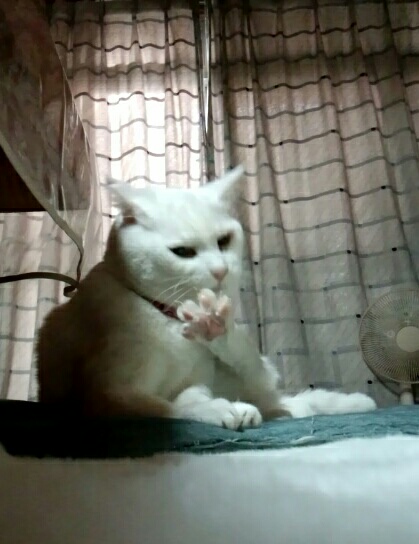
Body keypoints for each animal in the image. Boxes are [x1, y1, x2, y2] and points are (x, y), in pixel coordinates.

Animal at [36, 166, 376, 429]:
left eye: (224, 241)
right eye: (183, 251)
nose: (221, 270)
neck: (167, 320)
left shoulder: (196, 380)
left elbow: (193, 395)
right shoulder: (107, 396)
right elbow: (170, 407)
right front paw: (220, 410)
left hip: (251, 371)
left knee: (263, 378)